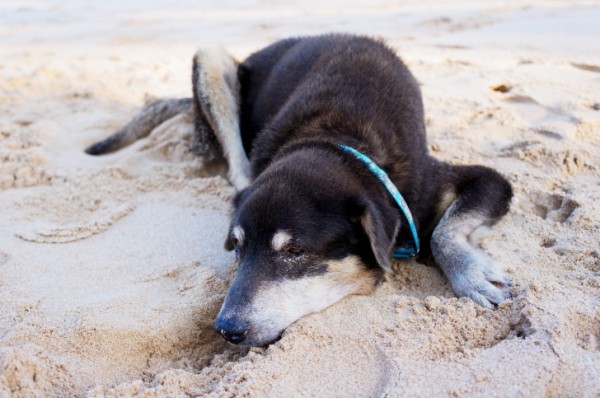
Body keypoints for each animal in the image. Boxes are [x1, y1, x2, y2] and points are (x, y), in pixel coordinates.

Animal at [86, 33, 512, 346]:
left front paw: (471, 274)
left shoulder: (472, 181)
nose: (226, 329)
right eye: (237, 247)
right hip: (212, 61)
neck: (335, 139)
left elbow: (444, 231)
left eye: (295, 252)